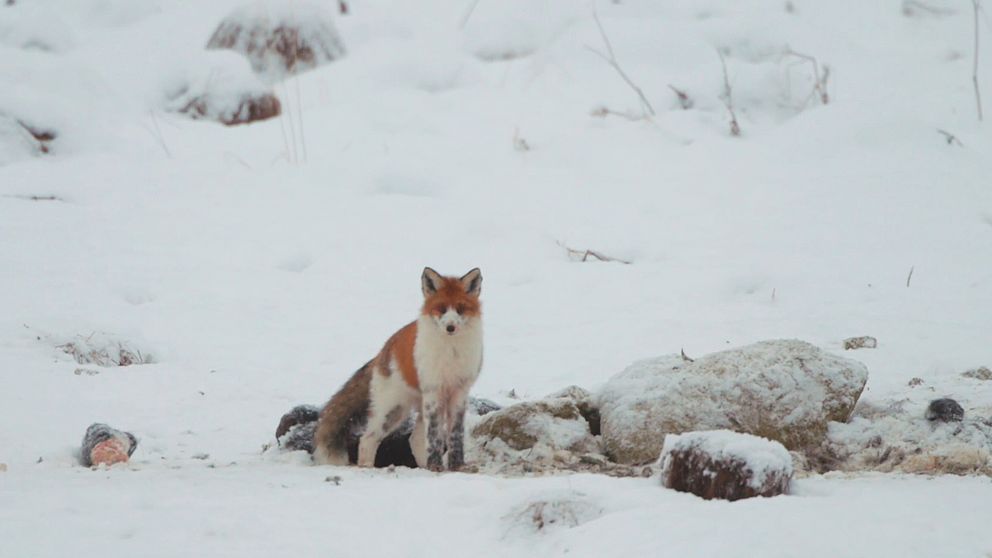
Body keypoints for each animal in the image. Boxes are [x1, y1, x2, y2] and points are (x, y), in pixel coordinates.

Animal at [310, 270, 480, 470]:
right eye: (441, 309)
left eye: (460, 309)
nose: (450, 327)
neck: (451, 354)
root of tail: (382, 351)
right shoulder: (434, 391)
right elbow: (434, 438)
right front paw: (437, 467)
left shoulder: (460, 392)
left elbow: (455, 436)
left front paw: (457, 467)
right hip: (393, 410)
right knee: (367, 439)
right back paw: (367, 468)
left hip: (414, 408)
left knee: (414, 440)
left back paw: (423, 467)